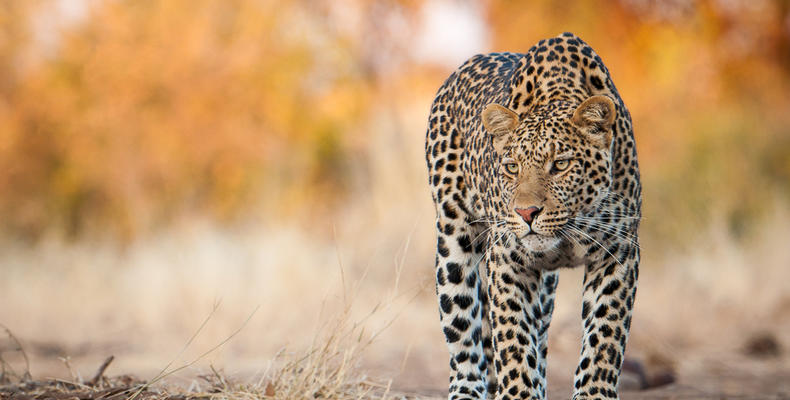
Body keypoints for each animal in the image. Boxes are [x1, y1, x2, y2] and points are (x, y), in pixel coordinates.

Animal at [425, 32, 641, 400]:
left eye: (561, 165)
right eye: (511, 168)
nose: (526, 213)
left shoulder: (618, 253)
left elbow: (605, 335)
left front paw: (594, 392)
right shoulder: (508, 260)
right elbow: (512, 340)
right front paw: (518, 393)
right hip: (453, 243)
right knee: (464, 335)